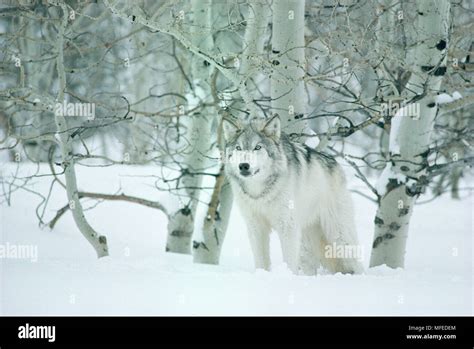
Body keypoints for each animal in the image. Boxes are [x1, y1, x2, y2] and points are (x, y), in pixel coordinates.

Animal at [222, 115, 362, 274]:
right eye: (238, 148)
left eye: (257, 147)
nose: (244, 166)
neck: (259, 193)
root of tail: (336, 163)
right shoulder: (255, 226)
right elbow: (261, 261)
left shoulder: (286, 227)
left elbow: (289, 261)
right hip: (305, 244)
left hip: (339, 237)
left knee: (356, 263)